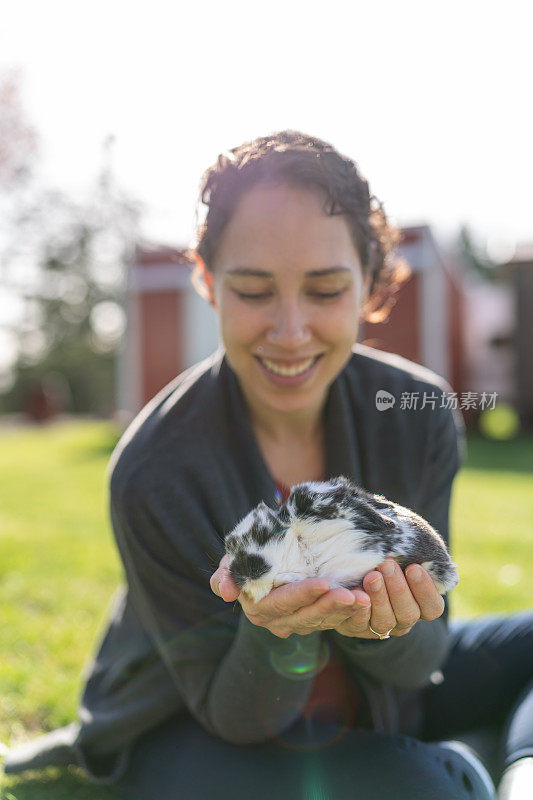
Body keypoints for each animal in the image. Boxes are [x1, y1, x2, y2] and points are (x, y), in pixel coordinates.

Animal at [224, 476, 458, 600]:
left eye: (262, 534)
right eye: (229, 547)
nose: (241, 573)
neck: (303, 549)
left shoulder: (313, 497)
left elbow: (364, 506)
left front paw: (388, 521)